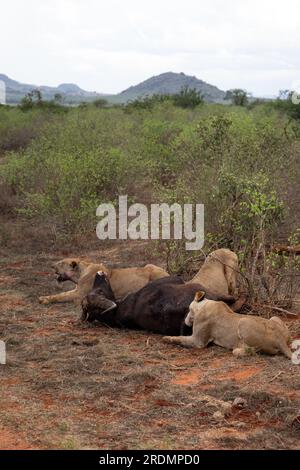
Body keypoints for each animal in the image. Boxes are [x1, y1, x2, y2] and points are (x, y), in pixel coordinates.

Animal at [38, 258, 169, 304]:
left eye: (60, 263)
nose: (51, 266)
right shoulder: (77, 290)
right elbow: (61, 294)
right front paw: (43, 298)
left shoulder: (80, 294)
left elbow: (61, 296)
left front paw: (44, 300)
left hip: (152, 270)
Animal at [163, 290, 292, 360]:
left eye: (189, 309)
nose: (186, 319)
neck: (204, 305)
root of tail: (280, 339)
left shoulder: (198, 341)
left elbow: (180, 338)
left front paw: (167, 338)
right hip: (274, 318)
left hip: (244, 321)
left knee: (252, 350)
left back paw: (237, 348)